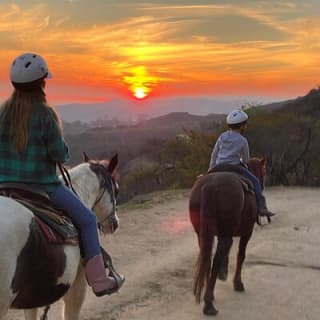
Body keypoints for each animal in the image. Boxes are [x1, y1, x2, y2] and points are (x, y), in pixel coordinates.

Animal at [189, 157, 266, 316]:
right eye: (264, 171)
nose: (263, 185)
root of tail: (210, 186)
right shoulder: (247, 232)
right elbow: (240, 255)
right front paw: (238, 283)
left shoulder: (222, 234)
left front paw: (223, 273)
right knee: (216, 259)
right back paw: (209, 303)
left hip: (202, 235)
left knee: (208, 258)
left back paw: (209, 295)